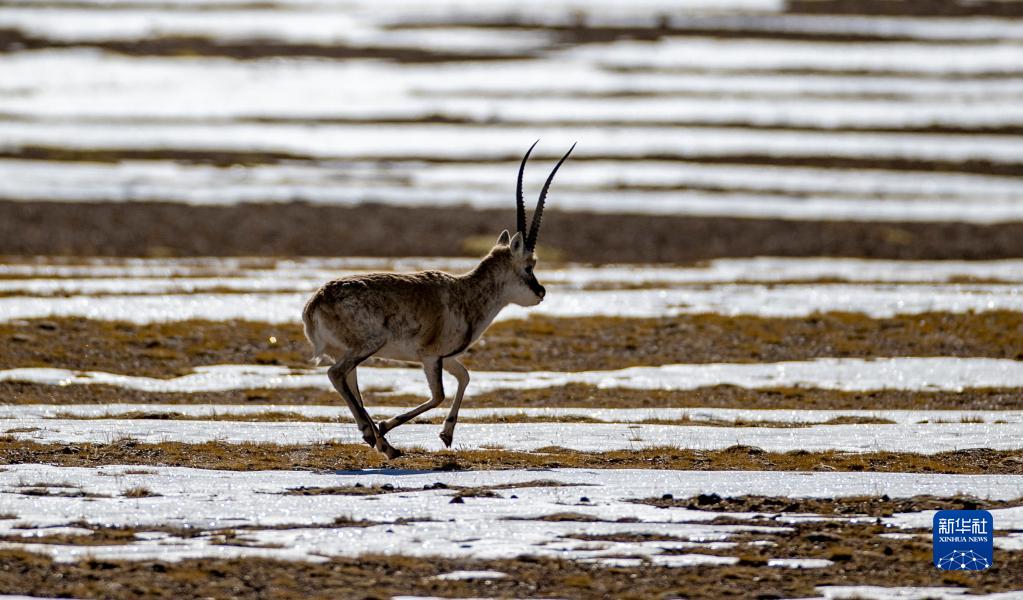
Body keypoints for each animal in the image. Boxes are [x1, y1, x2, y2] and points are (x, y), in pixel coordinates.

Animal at [302, 141, 575, 459]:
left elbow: (465, 377)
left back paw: (382, 443)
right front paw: (387, 424)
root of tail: (316, 302)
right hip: (366, 345)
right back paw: (379, 438)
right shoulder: (430, 356)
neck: (466, 292)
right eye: (530, 266)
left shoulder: (447, 357)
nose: (540, 292)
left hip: (346, 351)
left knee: (348, 380)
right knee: (336, 374)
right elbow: (439, 395)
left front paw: (446, 434)